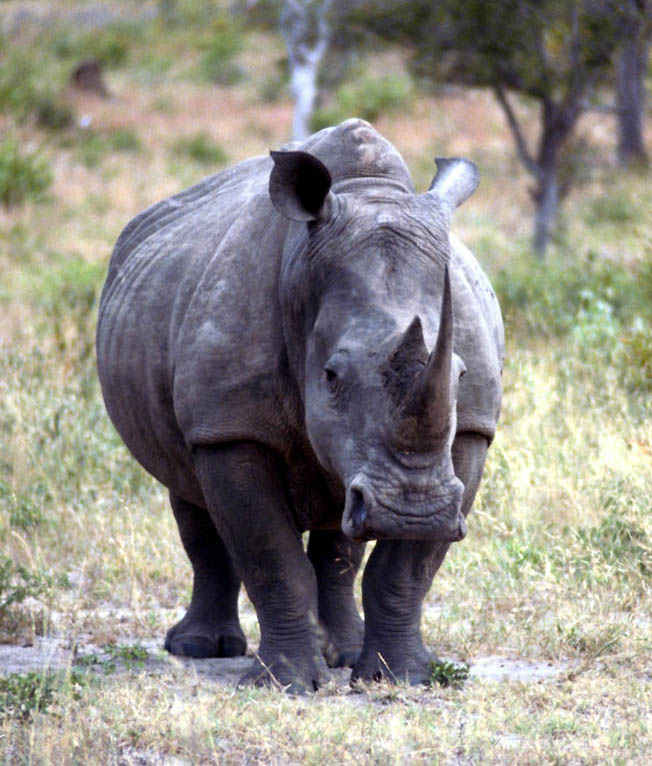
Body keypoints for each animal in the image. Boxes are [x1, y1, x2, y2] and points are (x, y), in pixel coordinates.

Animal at [96, 119, 504, 692]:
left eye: (461, 375)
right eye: (331, 376)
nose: (412, 511)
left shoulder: (470, 429)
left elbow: (404, 571)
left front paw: (400, 679)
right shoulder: (228, 427)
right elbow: (272, 557)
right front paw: (285, 683)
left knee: (340, 531)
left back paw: (342, 655)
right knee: (187, 491)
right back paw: (200, 649)